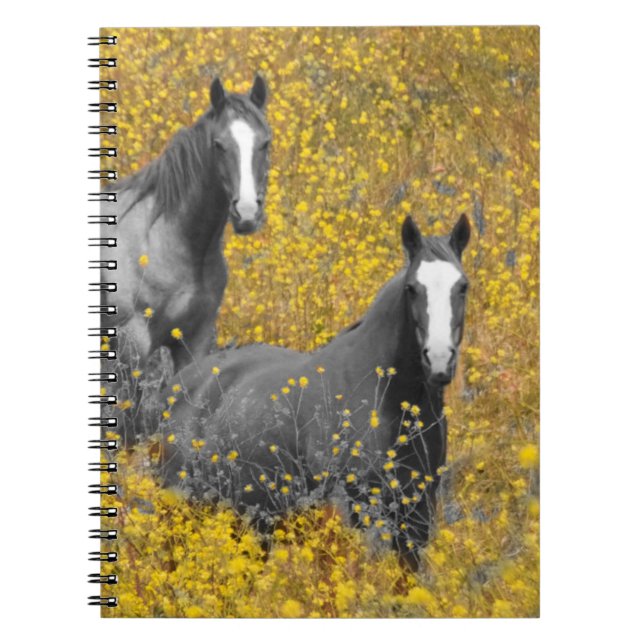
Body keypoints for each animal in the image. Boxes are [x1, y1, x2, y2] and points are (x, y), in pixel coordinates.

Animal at [158, 214, 470, 569]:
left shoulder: (416, 518)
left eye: (462, 286)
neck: (386, 399)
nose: (440, 360)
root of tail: (180, 385)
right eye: (412, 288)